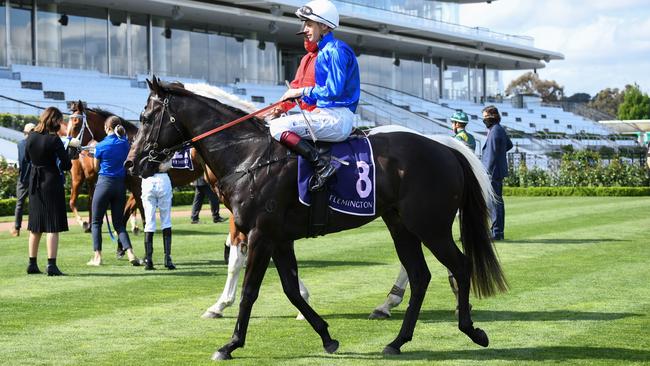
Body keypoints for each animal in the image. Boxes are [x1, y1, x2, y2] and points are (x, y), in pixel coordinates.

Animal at [126, 76, 506, 360]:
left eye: (145, 118)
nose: (132, 163)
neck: (249, 156)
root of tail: (444, 147)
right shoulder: (278, 239)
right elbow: (291, 289)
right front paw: (326, 336)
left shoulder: (261, 234)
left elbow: (250, 289)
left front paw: (230, 343)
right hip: (400, 224)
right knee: (420, 275)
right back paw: (397, 339)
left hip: (430, 225)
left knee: (460, 265)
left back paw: (470, 329)